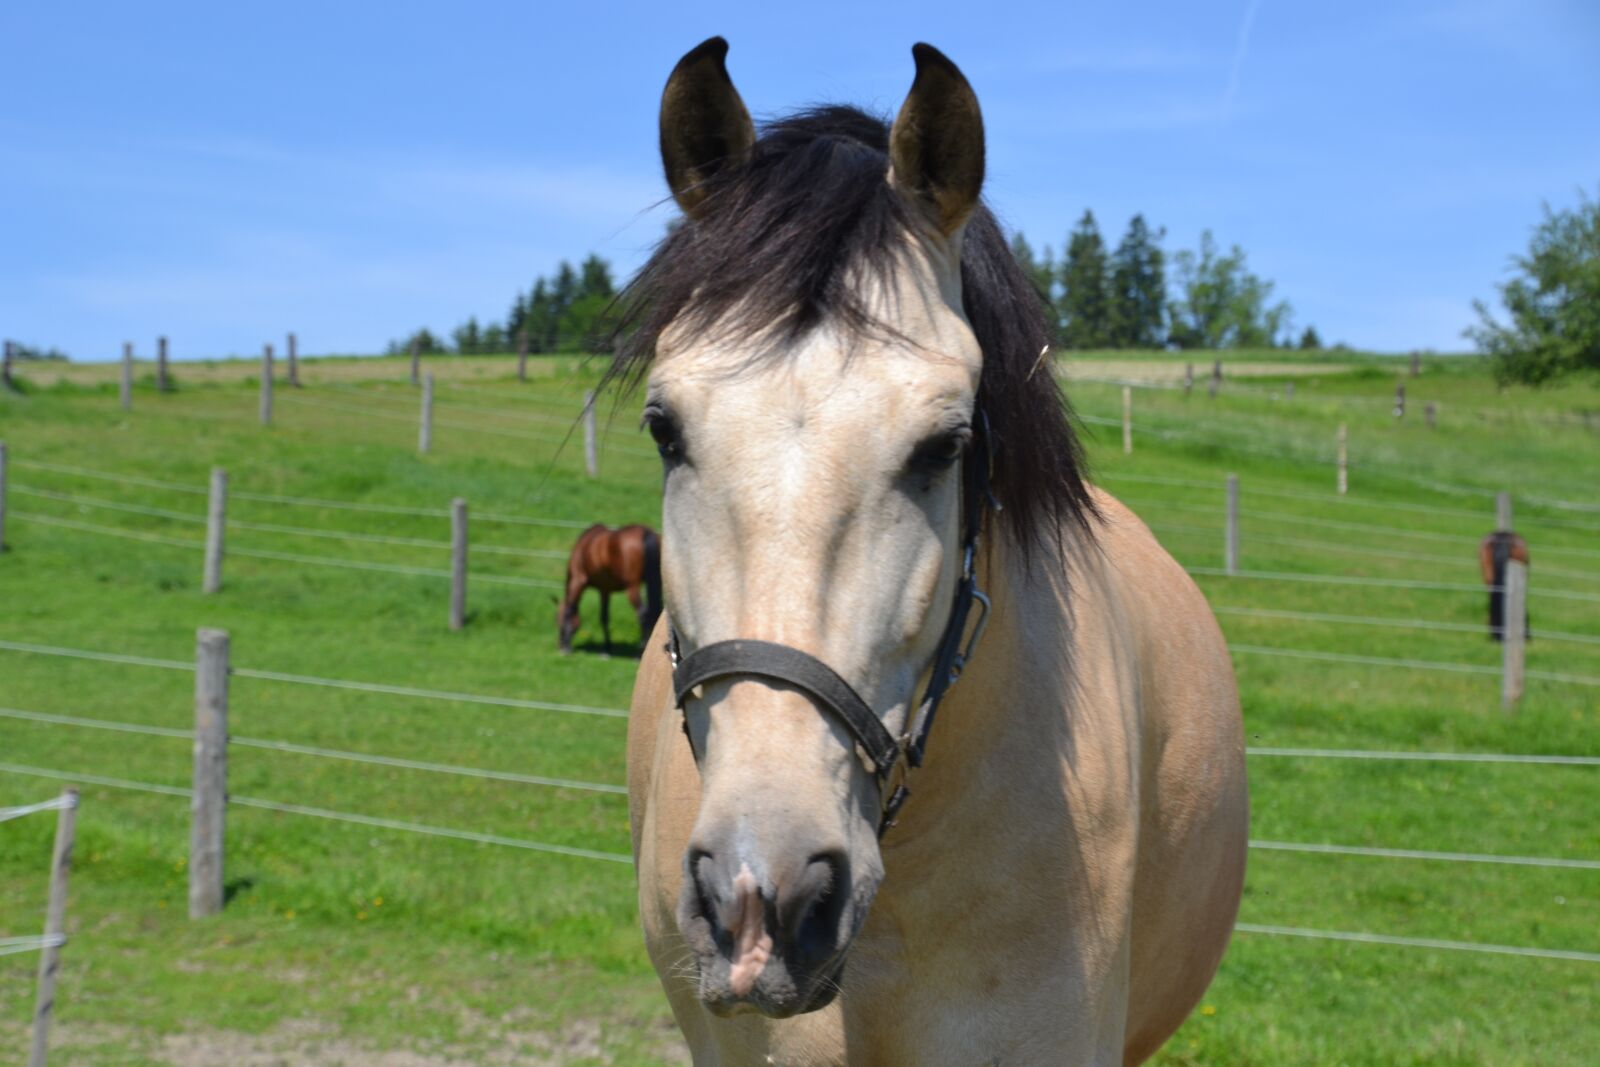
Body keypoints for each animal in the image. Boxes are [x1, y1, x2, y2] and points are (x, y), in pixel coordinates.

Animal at [557, 523, 662, 655]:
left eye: (557, 619)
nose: (560, 645)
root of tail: (646, 532)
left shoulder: (578, 581)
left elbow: (571, 610)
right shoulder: (605, 589)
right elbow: (604, 617)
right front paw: (607, 649)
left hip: (632, 587)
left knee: (642, 613)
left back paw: (639, 651)